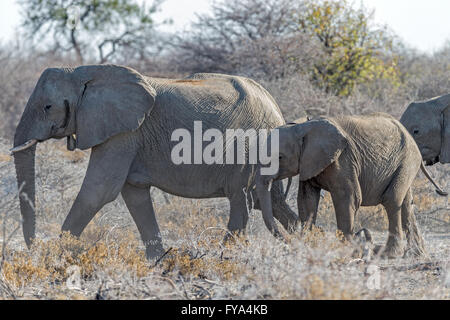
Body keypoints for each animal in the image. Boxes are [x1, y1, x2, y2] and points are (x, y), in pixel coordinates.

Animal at [10, 63, 298, 258]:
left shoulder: (124, 133)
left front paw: (54, 257)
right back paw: (303, 240)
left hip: (250, 143)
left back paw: (225, 256)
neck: (83, 72)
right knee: (269, 200)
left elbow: (98, 192)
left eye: (47, 107)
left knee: (241, 197)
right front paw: (158, 262)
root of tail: (275, 105)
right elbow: (134, 195)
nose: (35, 247)